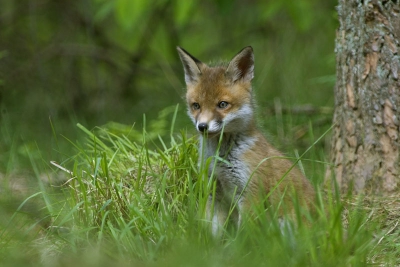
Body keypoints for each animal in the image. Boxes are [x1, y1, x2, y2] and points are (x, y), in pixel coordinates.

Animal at [177, 46, 314, 237]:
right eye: (196, 106)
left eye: (222, 104)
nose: (202, 126)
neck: (221, 158)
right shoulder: (214, 192)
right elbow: (214, 233)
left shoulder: (250, 193)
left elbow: (244, 236)